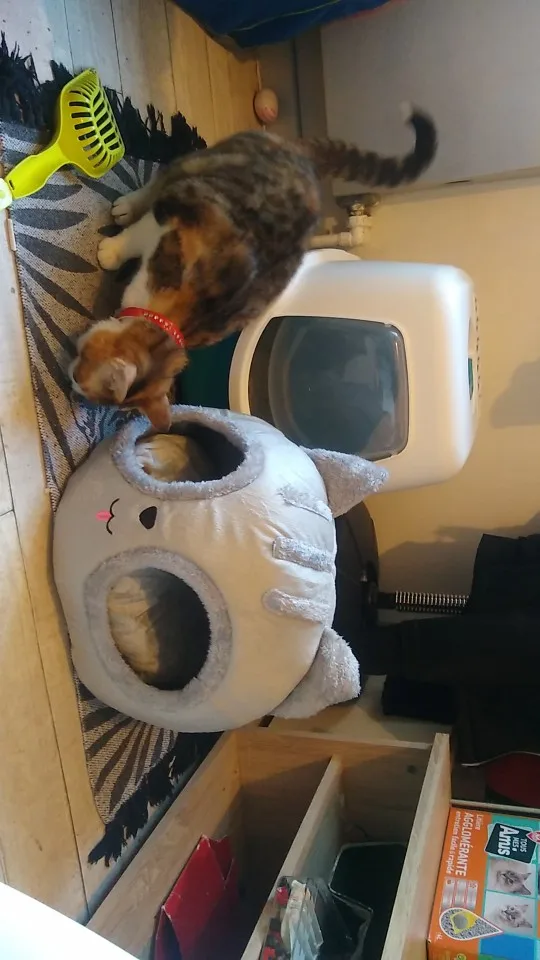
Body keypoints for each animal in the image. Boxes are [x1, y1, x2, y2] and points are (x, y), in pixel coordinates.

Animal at [70, 108, 437, 430]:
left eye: (80, 376)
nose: (70, 383)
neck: (171, 316)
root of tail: (302, 157)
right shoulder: (173, 221)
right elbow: (139, 233)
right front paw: (114, 250)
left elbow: (138, 235)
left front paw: (110, 252)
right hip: (204, 165)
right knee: (164, 179)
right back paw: (128, 204)